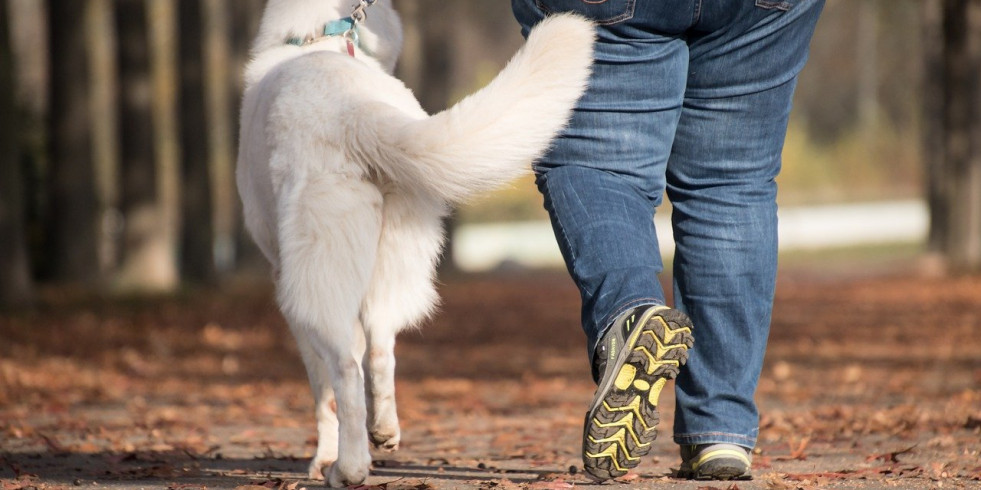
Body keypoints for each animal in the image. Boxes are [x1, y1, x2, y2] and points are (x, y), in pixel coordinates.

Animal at [237, 0, 592, 486]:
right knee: (381, 347)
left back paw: (347, 467)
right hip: (396, 258)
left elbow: (321, 392)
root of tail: (353, 110)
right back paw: (384, 432)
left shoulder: (284, 281)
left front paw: (321, 457)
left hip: (317, 280)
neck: (319, 37)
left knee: (345, 371)